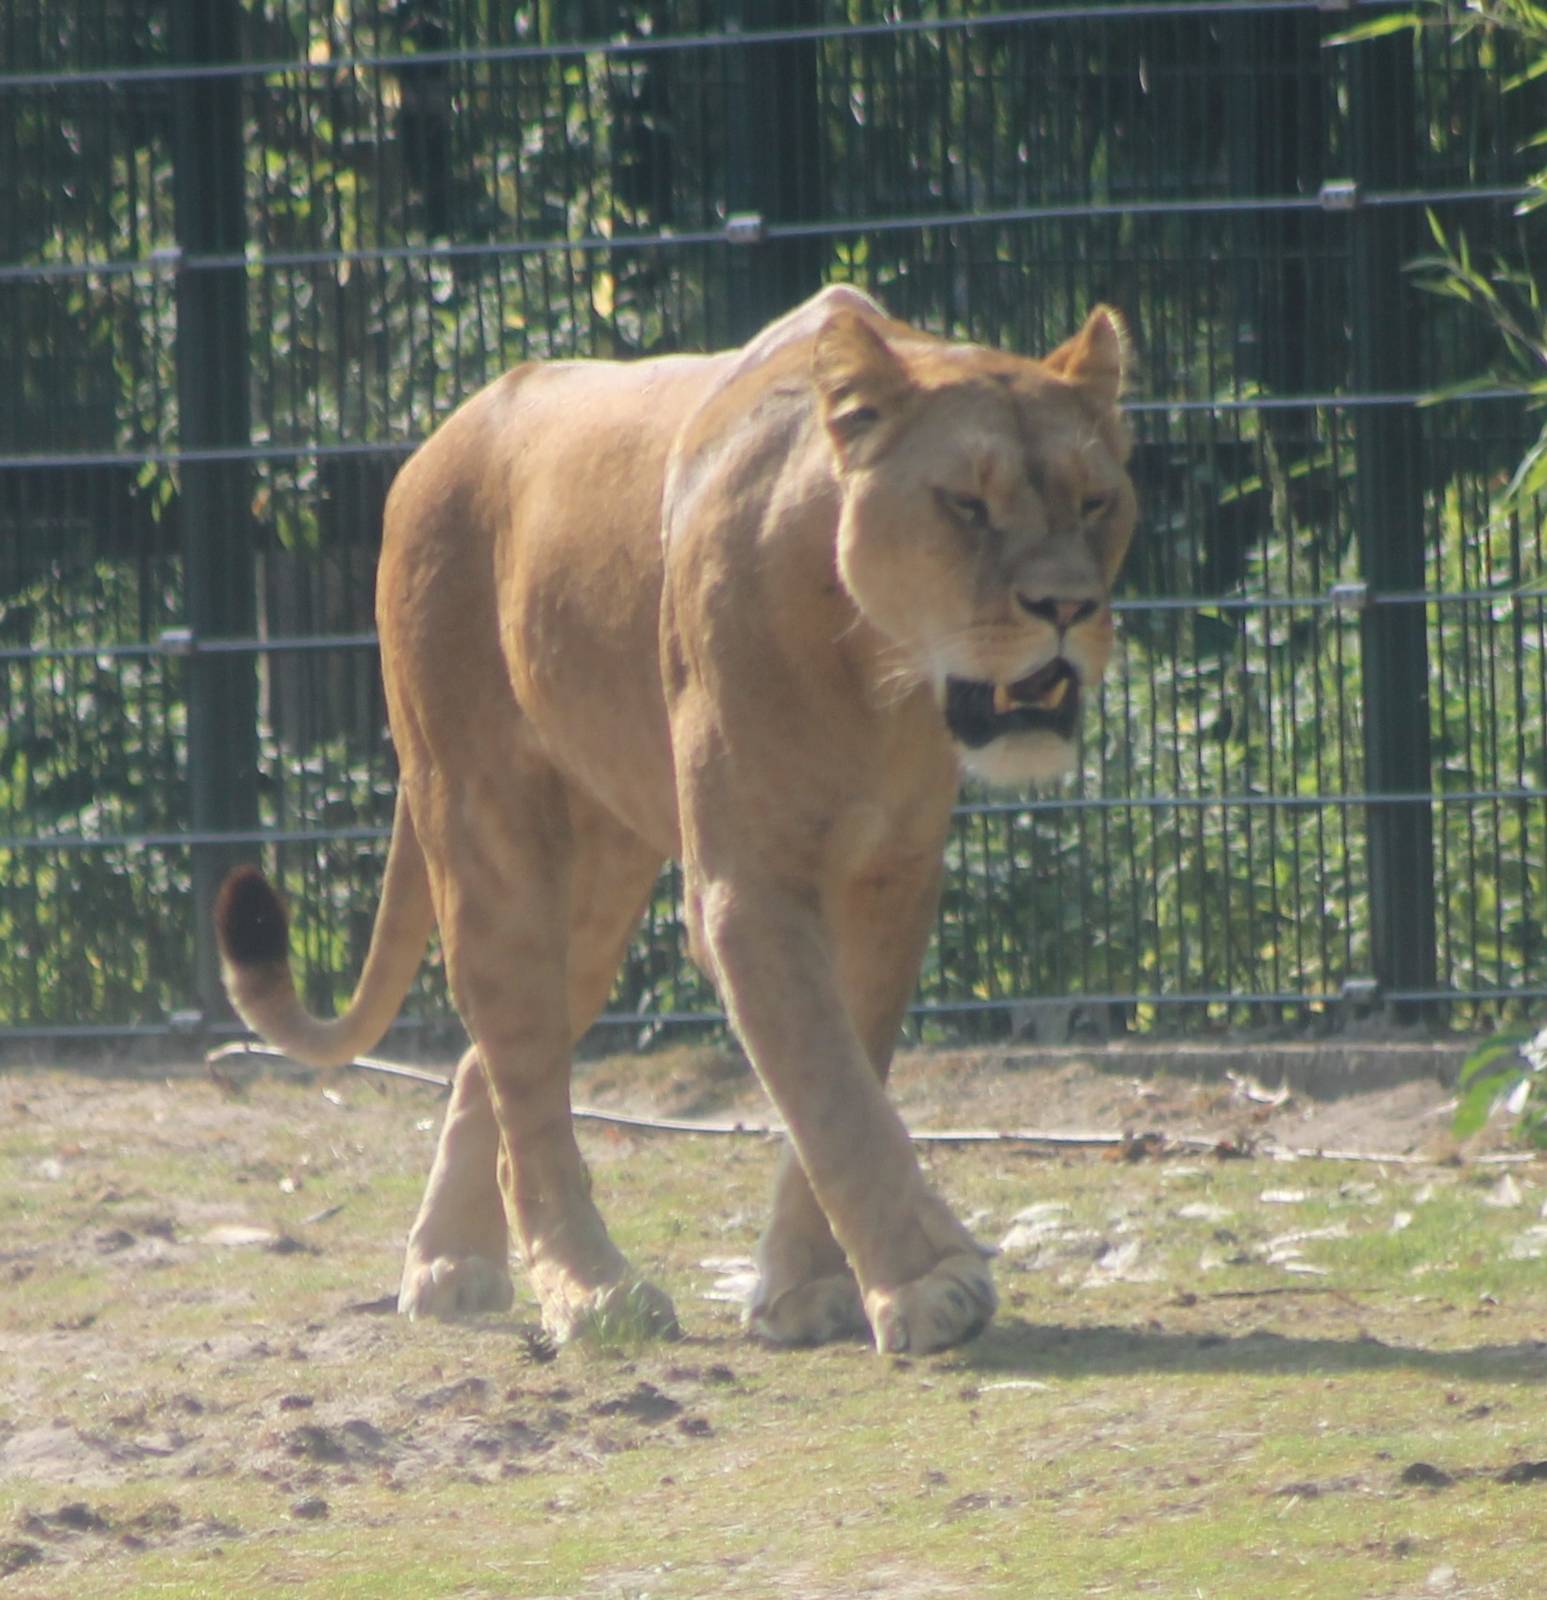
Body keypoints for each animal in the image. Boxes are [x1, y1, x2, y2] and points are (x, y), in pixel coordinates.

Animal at [215, 285, 1138, 1355]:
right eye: (966, 504)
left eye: (1094, 502)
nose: (1067, 606)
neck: (876, 667)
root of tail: (435, 441)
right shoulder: (745, 890)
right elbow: (831, 1085)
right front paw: (928, 1283)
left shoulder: (891, 875)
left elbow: (848, 1066)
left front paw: (803, 1288)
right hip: (483, 824)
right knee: (524, 1079)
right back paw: (589, 1293)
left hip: (599, 876)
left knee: (493, 1063)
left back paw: (449, 1264)